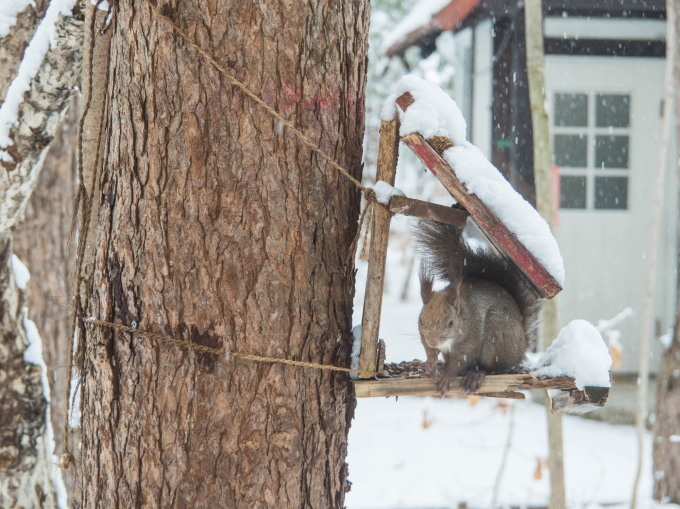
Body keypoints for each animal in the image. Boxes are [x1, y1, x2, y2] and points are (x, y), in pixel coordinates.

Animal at [414, 218, 540, 392]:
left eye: (451, 323)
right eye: (420, 321)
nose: (434, 342)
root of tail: (521, 348)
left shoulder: (469, 344)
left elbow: (459, 363)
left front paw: (447, 377)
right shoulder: (424, 337)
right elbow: (430, 351)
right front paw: (430, 364)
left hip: (497, 334)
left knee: (493, 367)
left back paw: (476, 375)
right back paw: (442, 366)